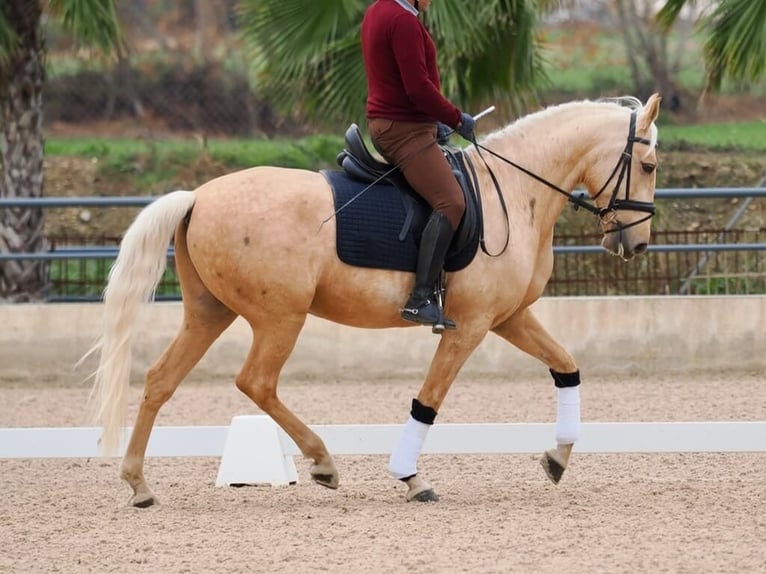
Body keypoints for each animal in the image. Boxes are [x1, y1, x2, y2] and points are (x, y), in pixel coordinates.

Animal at [90, 94, 664, 508]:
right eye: (650, 165)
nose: (635, 245)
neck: (516, 191)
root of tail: (199, 197)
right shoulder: (471, 325)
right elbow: (428, 400)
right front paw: (410, 477)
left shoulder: (510, 318)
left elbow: (567, 367)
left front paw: (558, 457)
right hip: (280, 317)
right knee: (256, 382)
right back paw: (323, 463)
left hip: (210, 313)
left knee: (161, 380)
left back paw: (139, 485)